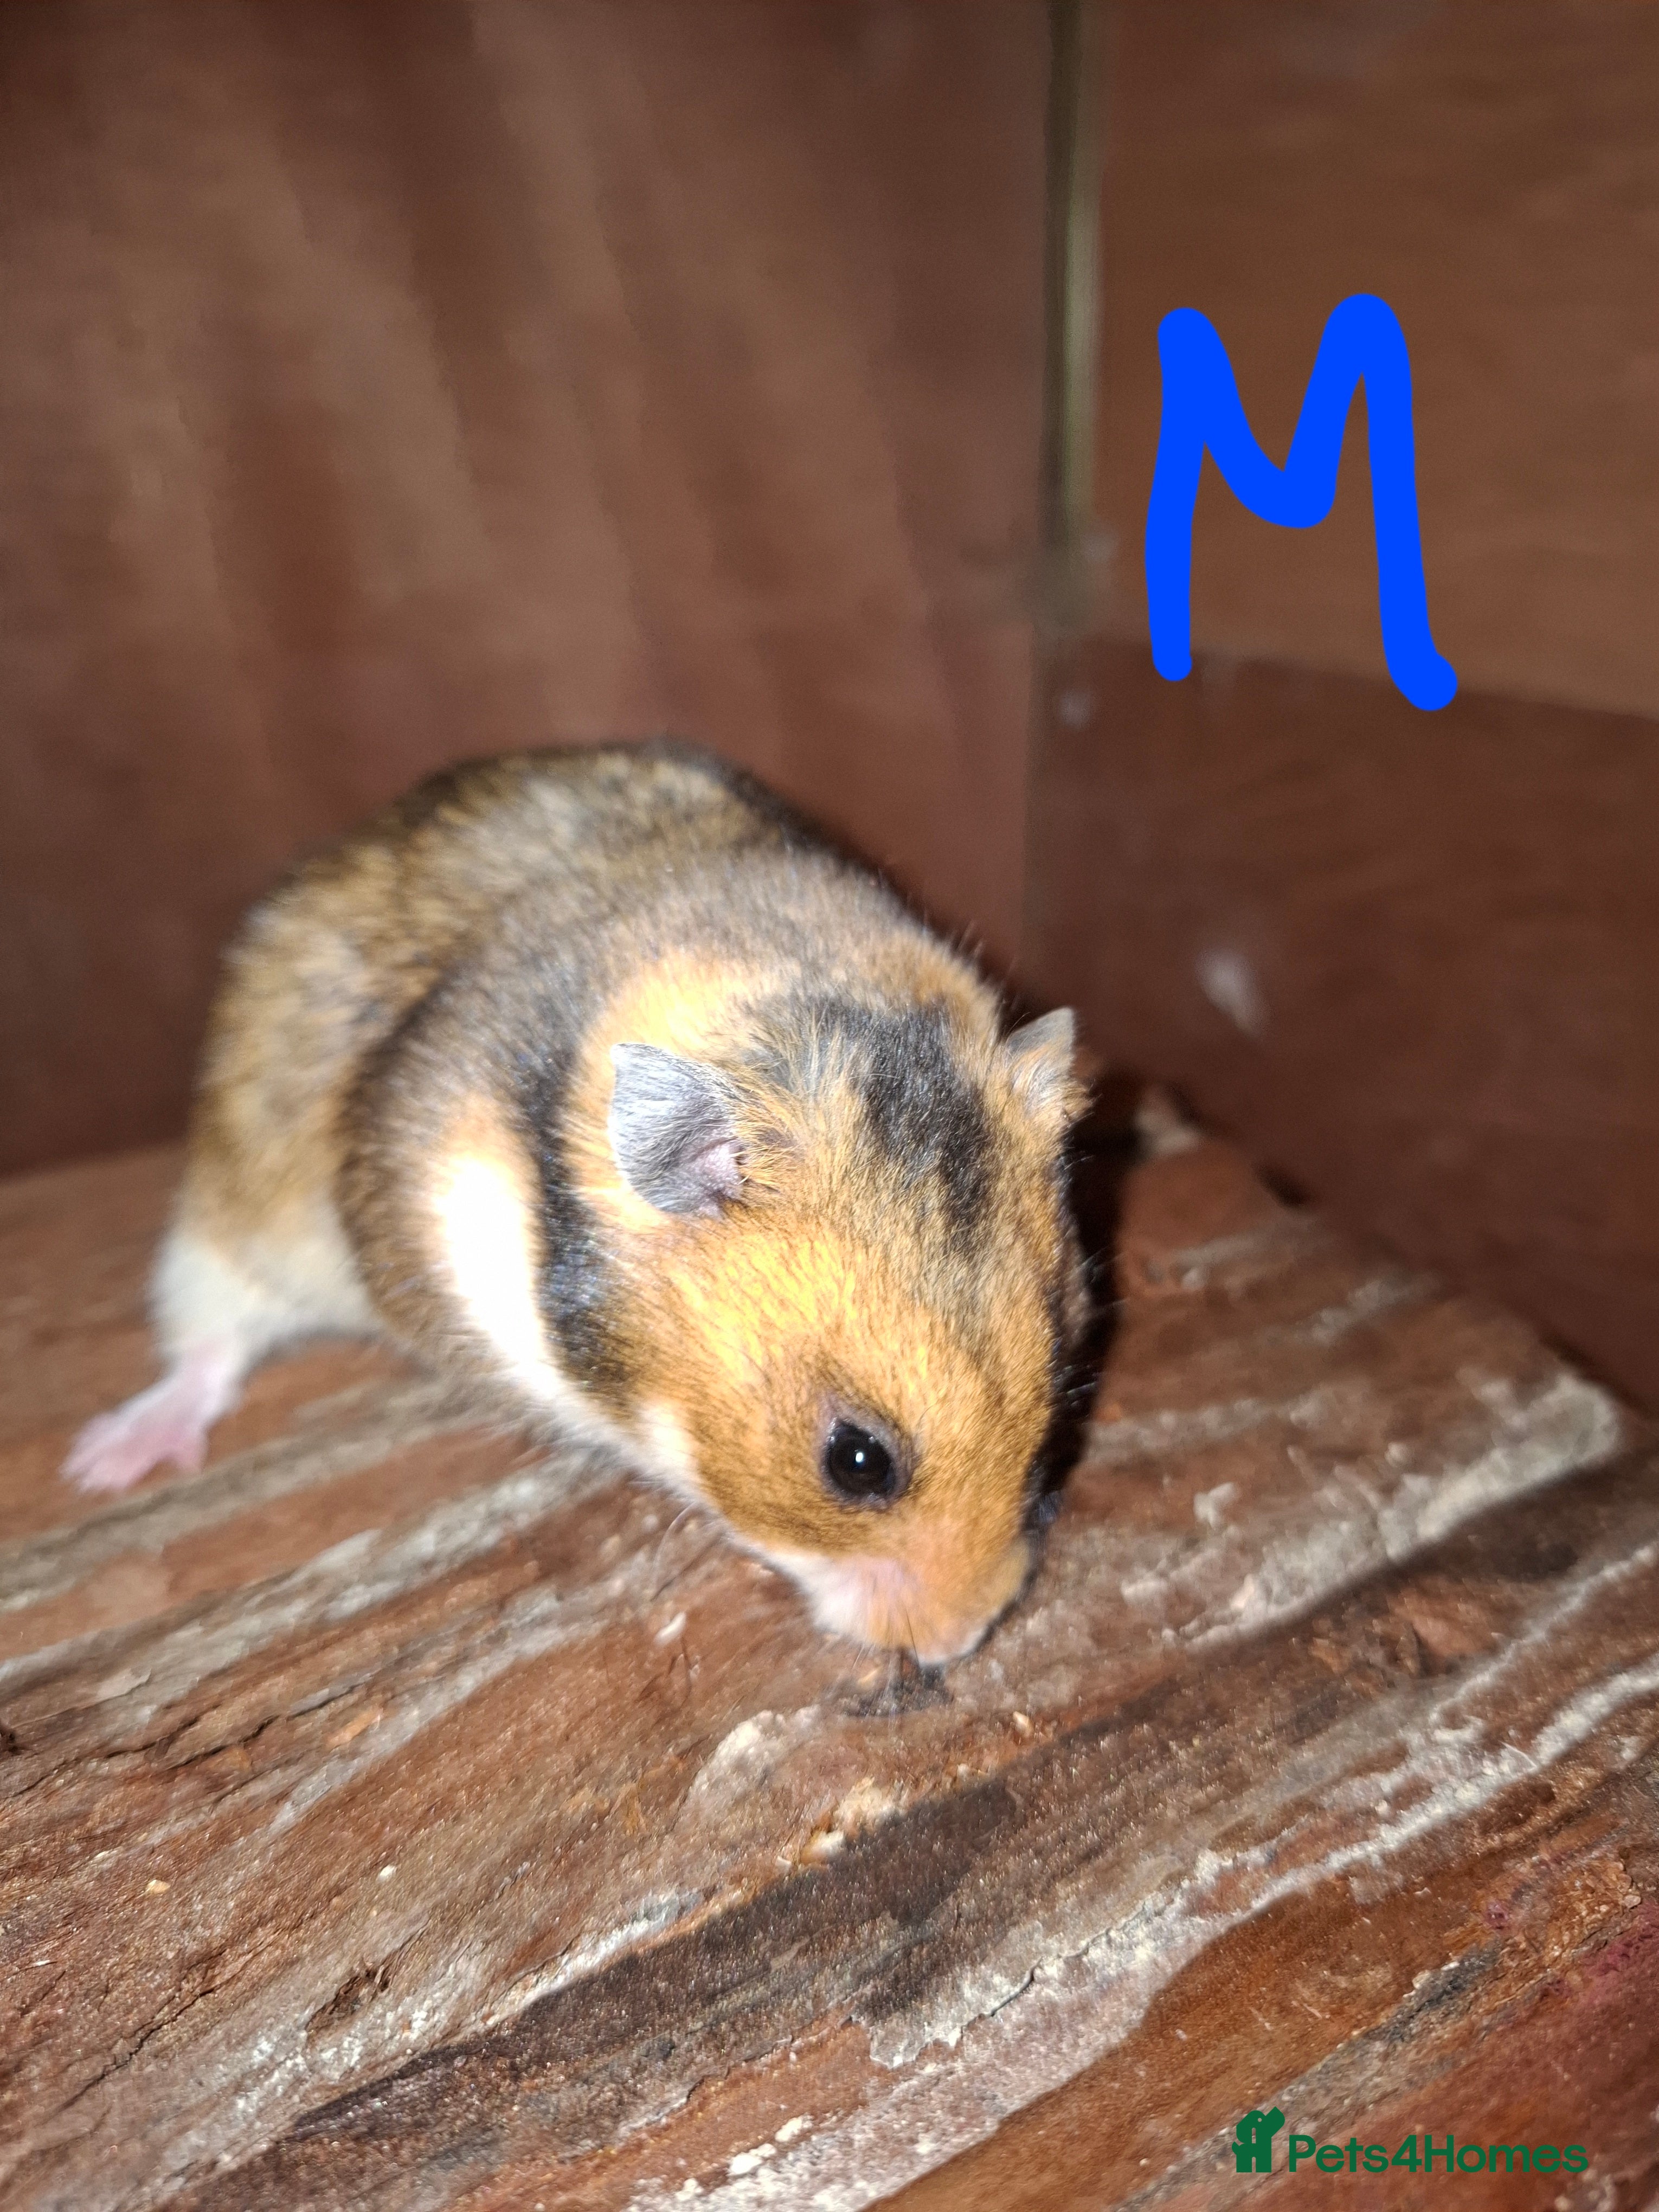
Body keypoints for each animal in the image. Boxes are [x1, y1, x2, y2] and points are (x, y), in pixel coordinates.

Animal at [64, 743, 1087, 1663]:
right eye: (857, 1460)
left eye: (1060, 1386)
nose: (961, 1641)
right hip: (229, 1218)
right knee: (206, 1344)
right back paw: (104, 1461)